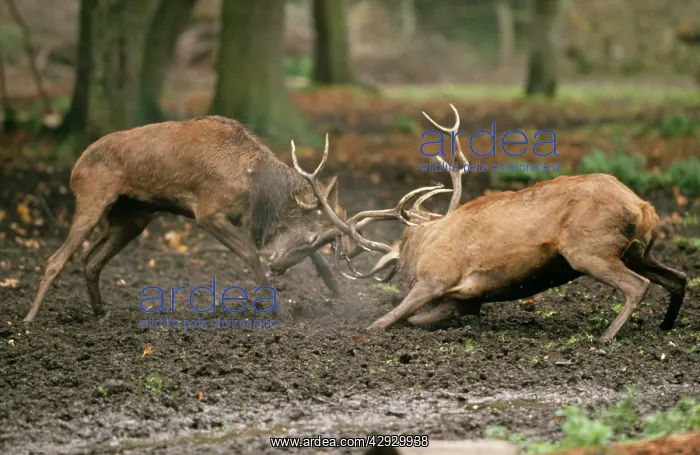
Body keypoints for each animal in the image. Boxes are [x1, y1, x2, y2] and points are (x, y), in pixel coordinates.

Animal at [24, 115, 351, 324]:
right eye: (311, 238)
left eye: (321, 241)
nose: (279, 267)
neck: (255, 187)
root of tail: (75, 168)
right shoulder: (208, 212)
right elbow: (249, 253)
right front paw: (277, 308)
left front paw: (335, 288)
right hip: (92, 199)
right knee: (56, 259)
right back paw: (29, 319)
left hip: (132, 217)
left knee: (91, 259)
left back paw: (101, 312)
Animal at [283, 104, 688, 343]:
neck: (419, 247)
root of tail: (643, 206)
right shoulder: (468, 299)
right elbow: (418, 319)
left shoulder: (437, 278)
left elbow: (387, 320)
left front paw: (371, 326)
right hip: (637, 251)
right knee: (678, 277)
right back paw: (666, 326)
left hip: (588, 248)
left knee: (637, 286)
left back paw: (605, 337)